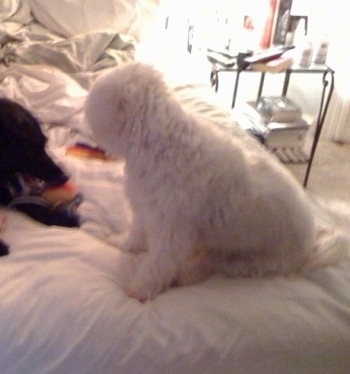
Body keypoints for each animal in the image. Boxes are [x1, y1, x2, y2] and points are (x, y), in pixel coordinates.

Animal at [85, 61, 318, 300]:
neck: (160, 145)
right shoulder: (145, 209)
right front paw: (123, 242)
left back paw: (188, 274)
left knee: (214, 265)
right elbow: (136, 234)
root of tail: (309, 247)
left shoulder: (172, 230)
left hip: (253, 261)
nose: (88, 125)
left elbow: (157, 264)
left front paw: (140, 290)